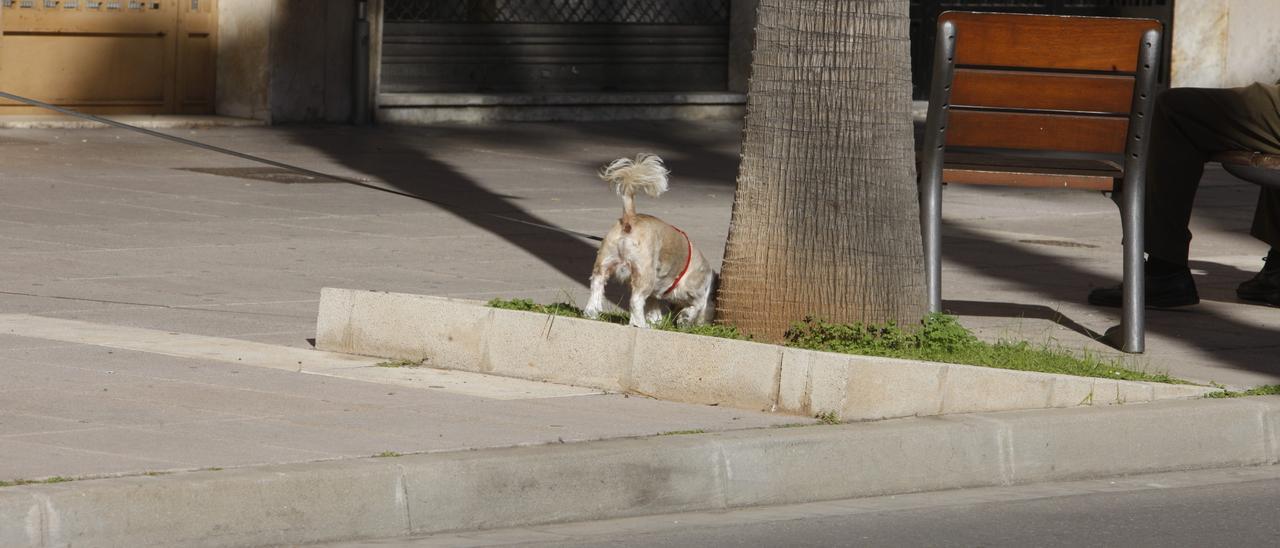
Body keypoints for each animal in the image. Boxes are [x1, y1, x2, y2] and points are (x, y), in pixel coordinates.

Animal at [583, 151, 716, 327]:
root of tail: (631, 218)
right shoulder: (697, 292)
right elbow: (696, 306)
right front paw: (685, 318)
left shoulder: (656, 292)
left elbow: (653, 304)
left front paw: (656, 321)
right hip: (645, 273)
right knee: (636, 300)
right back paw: (640, 324)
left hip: (604, 263)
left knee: (597, 285)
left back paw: (592, 313)